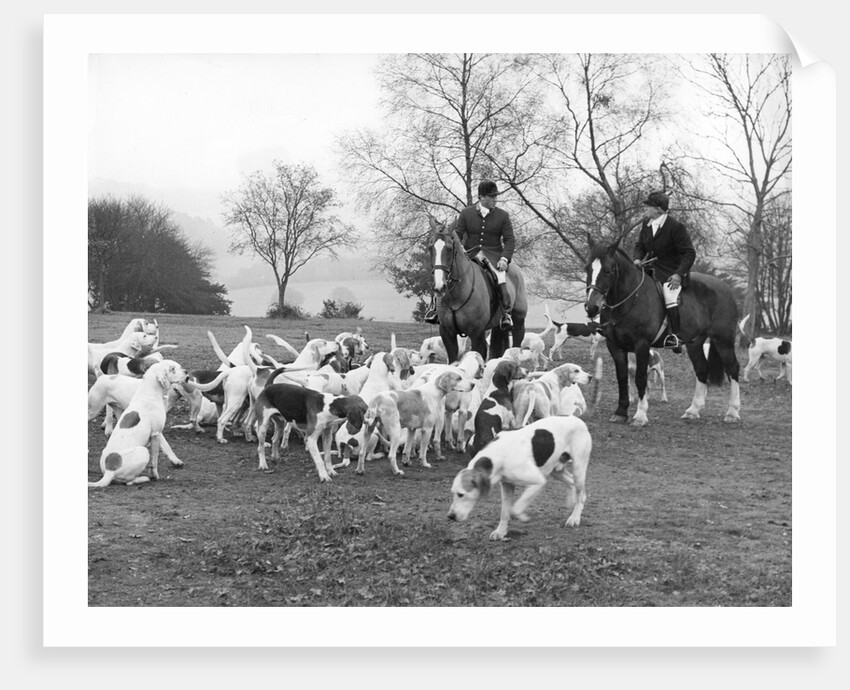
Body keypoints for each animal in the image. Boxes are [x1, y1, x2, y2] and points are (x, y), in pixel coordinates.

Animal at [428, 216, 528, 362]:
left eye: (449, 248)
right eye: (430, 248)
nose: (439, 287)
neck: (456, 295)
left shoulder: (477, 333)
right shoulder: (447, 333)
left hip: (519, 322)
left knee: (516, 343)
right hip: (497, 326)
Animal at [580, 234, 740, 422]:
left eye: (607, 270)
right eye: (587, 268)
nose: (591, 307)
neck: (631, 298)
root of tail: (725, 288)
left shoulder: (641, 345)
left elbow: (640, 378)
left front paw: (640, 415)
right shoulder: (615, 346)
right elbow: (622, 378)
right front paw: (620, 412)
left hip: (723, 340)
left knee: (733, 368)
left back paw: (732, 412)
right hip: (694, 343)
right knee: (701, 369)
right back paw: (693, 411)